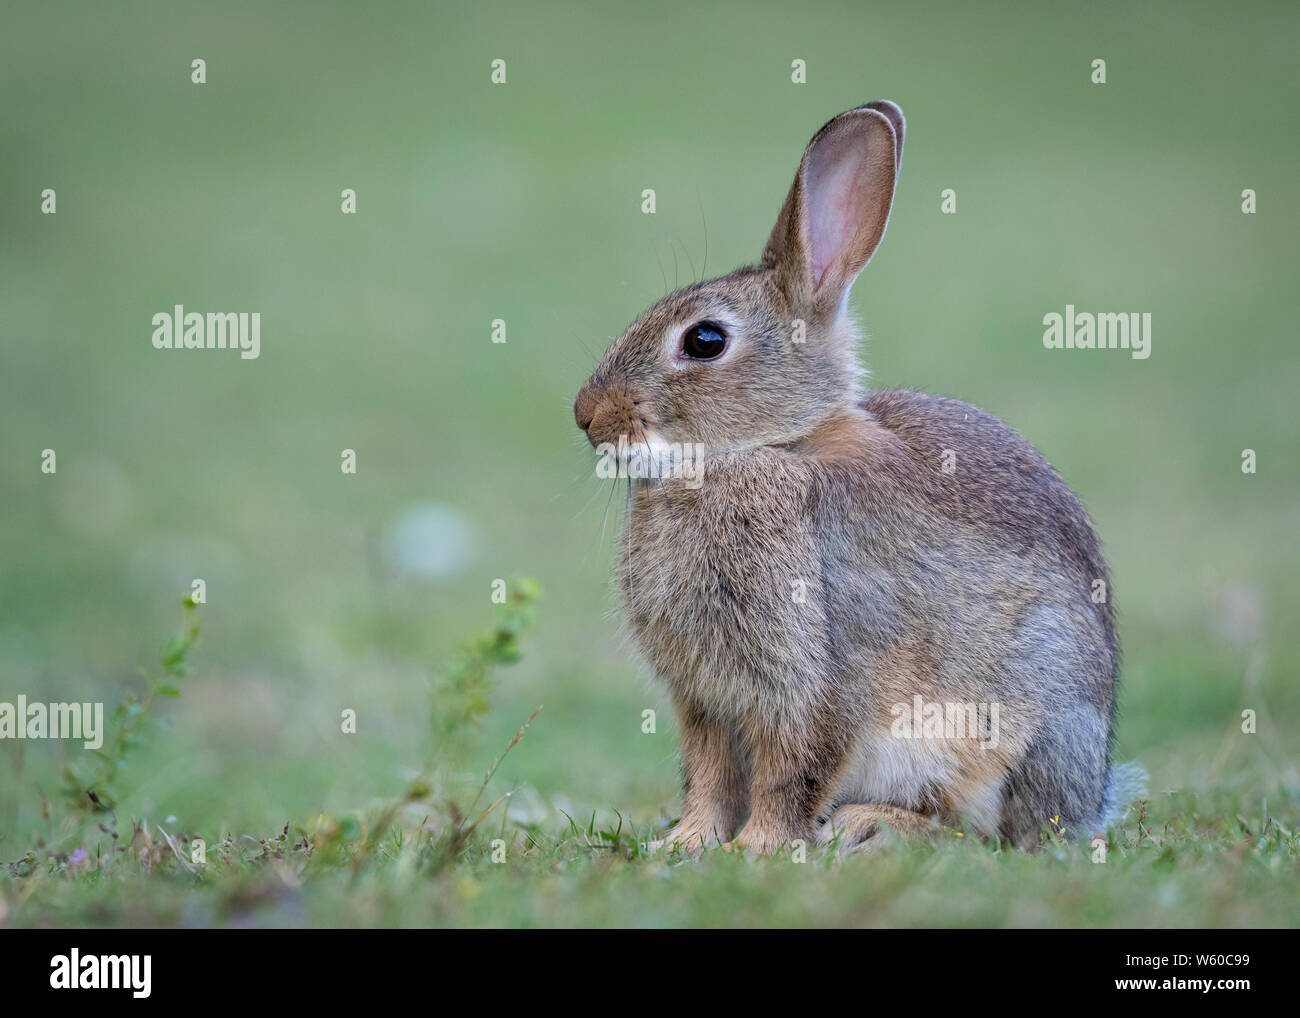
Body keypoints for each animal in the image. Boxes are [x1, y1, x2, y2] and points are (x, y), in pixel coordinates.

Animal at [574, 101, 1144, 852]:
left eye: (704, 340)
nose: (586, 416)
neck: (772, 446)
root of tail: (1092, 799)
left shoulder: (819, 674)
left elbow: (793, 771)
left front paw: (759, 850)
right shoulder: (705, 702)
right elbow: (710, 777)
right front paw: (687, 844)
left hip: (1023, 715)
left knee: (979, 832)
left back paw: (868, 824)